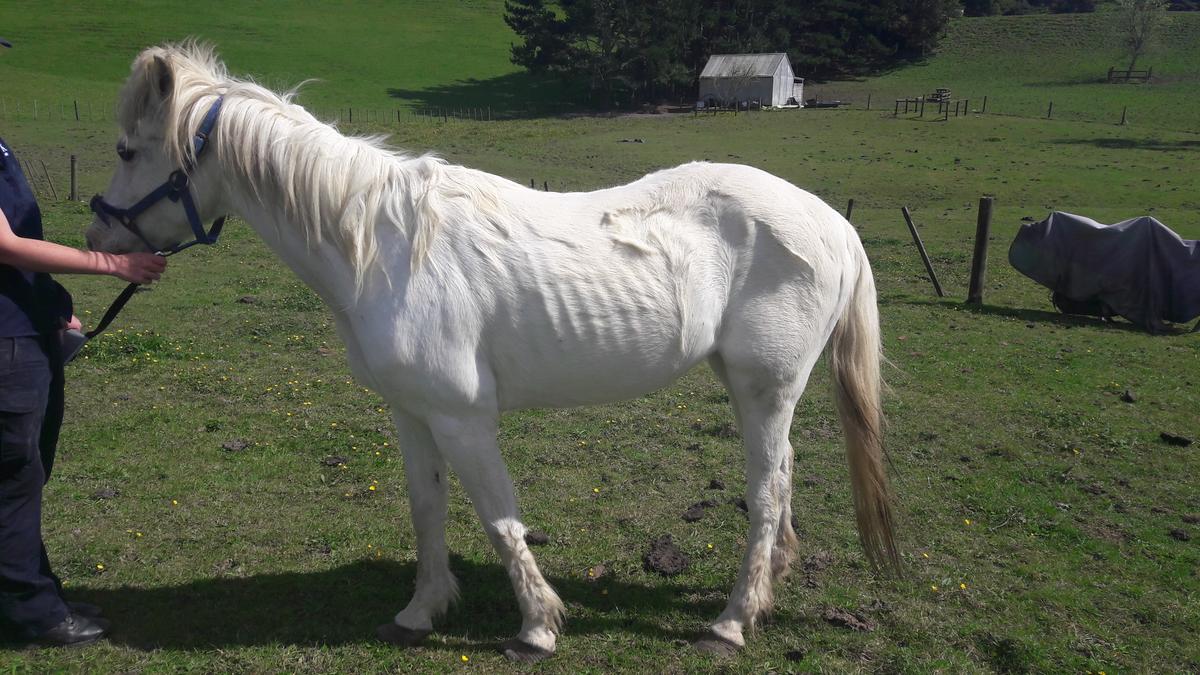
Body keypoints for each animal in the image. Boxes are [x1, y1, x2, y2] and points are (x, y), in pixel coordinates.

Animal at [86, 43, 898, 661]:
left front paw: (536, 626)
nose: (97, 237)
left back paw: (731, 621)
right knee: (782, 485)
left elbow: (500, 520)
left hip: (765, 388)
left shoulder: (463, 416)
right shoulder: (413, 413)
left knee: (766, 493)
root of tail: (831, 222)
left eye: (127, 149)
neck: (377, 245)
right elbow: (427, 508)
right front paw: (420, 611)